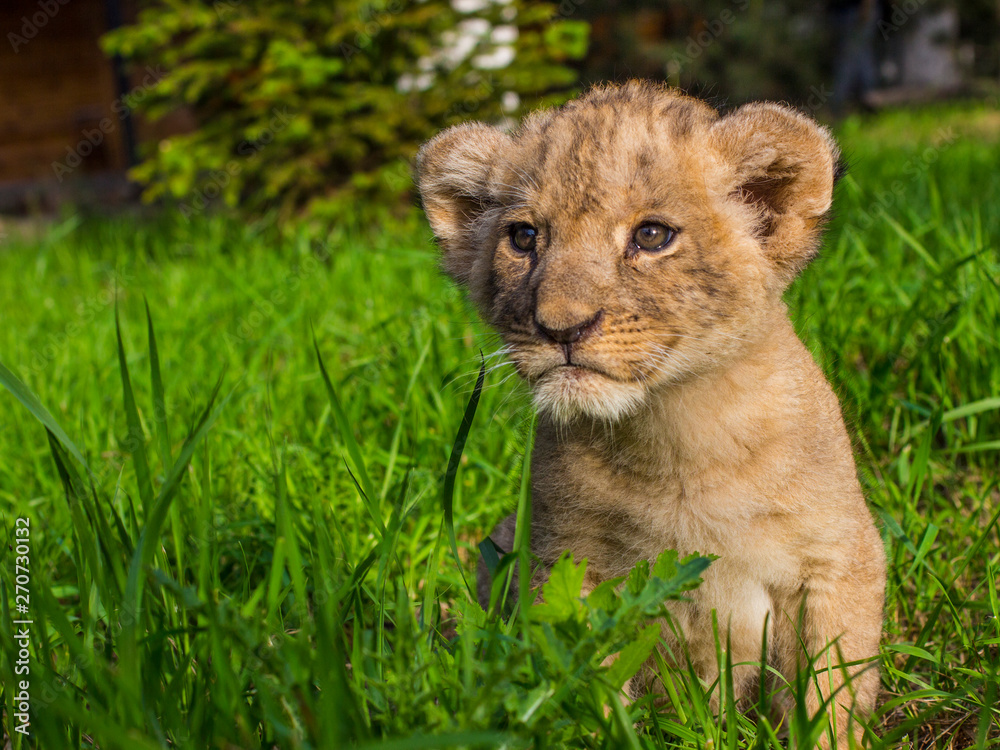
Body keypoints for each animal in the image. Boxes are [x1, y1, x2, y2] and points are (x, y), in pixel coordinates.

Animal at [416, 81, 886, 747]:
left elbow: (829, 689)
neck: (671, 429)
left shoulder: (837, 560)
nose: (560, 328)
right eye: (524, 237)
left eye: (653, 236)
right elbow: (590, 690)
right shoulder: (562, 564)